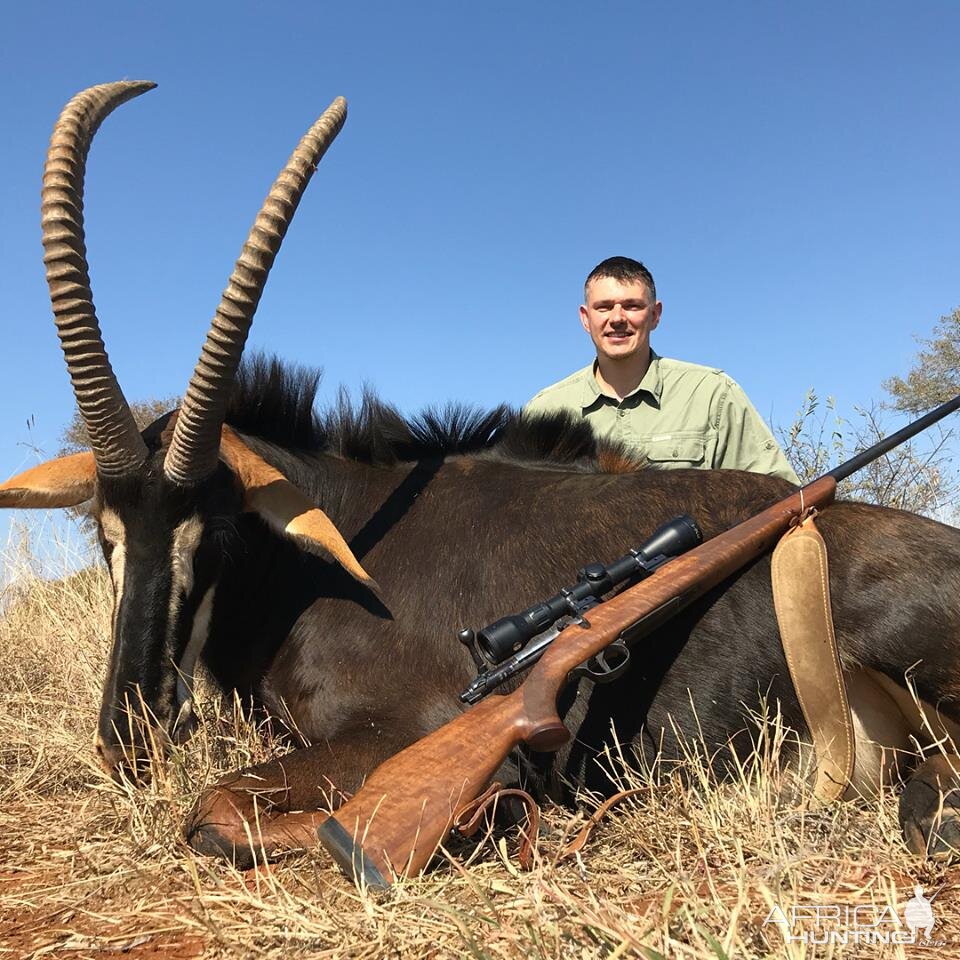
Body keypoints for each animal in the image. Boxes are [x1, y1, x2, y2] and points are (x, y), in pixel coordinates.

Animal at [5, 82, 960, 872]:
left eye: (221, 530)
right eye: (106, 534)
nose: (128, 736)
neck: (336, 554)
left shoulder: (399, 731)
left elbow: (217, 810)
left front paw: (472, 817)